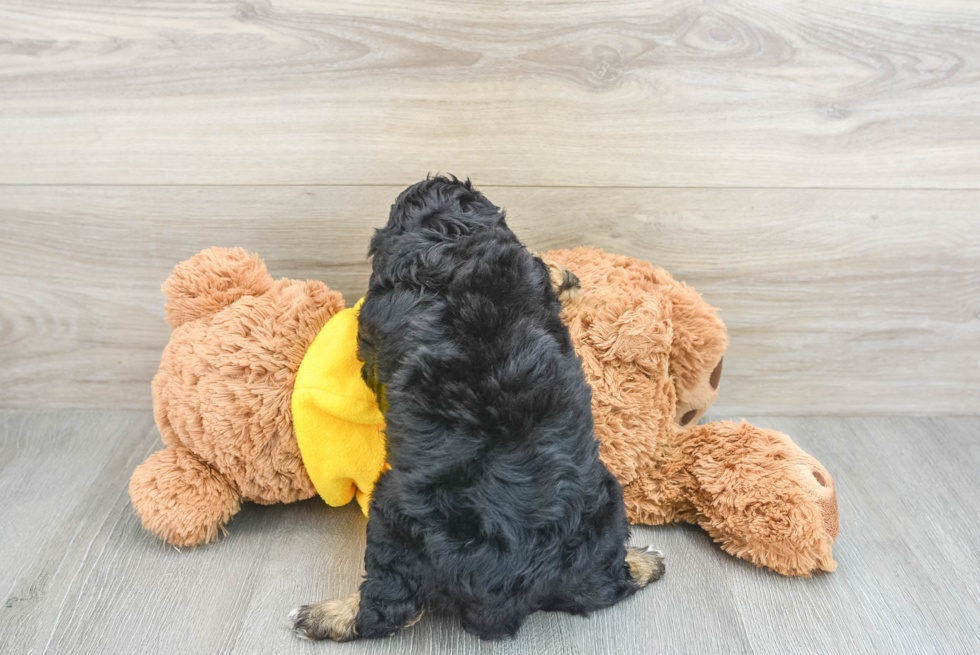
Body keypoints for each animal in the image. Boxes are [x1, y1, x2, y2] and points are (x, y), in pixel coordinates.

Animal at [288, 177, 664, 644]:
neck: (448, 241)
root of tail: (509, 577)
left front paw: (566, 275)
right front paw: (567, 277)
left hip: (392, 515)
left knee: (389, 610)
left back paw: (321, 616)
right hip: (603, 512)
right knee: (601, 586)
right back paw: (645, 563)